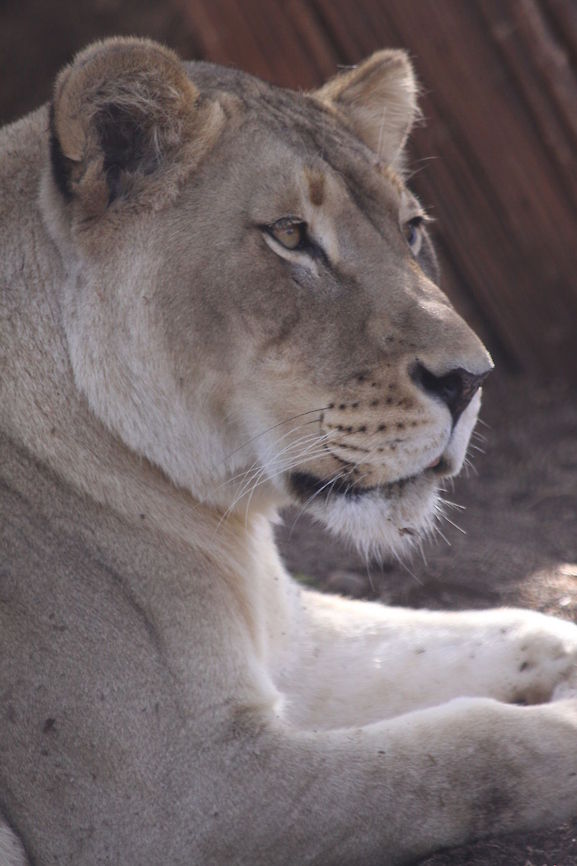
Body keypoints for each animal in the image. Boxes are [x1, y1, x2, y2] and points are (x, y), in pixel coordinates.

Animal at [1, 35, 577, 866]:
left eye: (410, 229)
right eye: (291, 236)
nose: (471, 379)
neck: (226, 525)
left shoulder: (292, 641)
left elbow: (502, 626)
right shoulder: (175, 802)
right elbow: (472, 746)